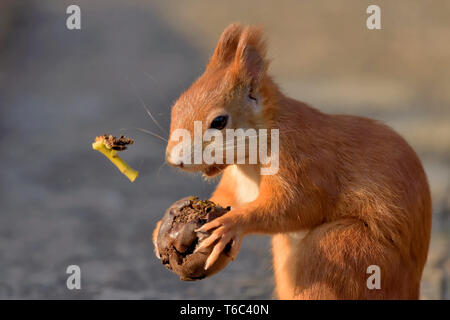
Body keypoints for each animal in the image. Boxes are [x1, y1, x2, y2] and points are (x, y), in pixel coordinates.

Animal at [155, 23, 432, 298]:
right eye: (175, 107)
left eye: (219, 121)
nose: (174, 160)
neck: (249, 161)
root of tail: (410, 288)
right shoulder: (238, 181)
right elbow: (228, 197)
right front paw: (162, 224)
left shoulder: (300, 162)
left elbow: (296, 205)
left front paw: (230, 224)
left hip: (347, 248)